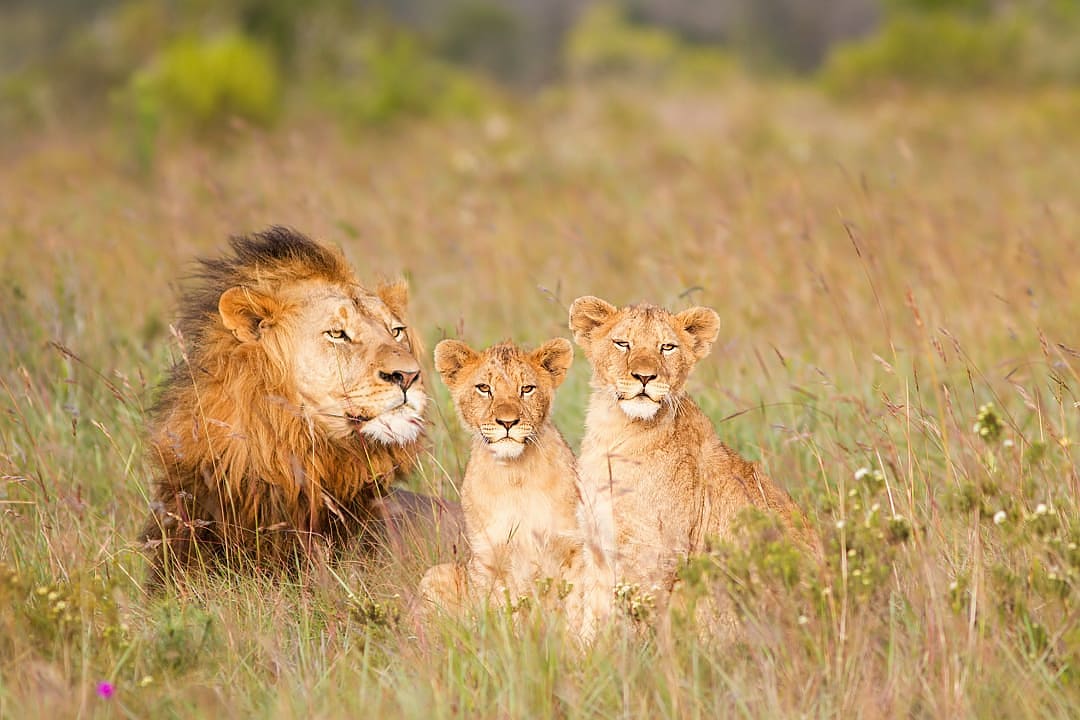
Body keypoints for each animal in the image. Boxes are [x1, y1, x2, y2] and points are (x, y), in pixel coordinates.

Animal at [418, 338, 582, 612]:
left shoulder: (574, 547)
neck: (514, 476)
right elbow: (498, 613)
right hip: (437, 572)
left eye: (527, 389)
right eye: (484, 388)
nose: (507, 422)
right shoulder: (487, 559)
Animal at [568, 296, 818, 631]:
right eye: (622, 343)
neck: (614, 430)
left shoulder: (653, 554)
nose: (645, 377)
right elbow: (592, 623)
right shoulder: (597, 548)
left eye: (667, 347)